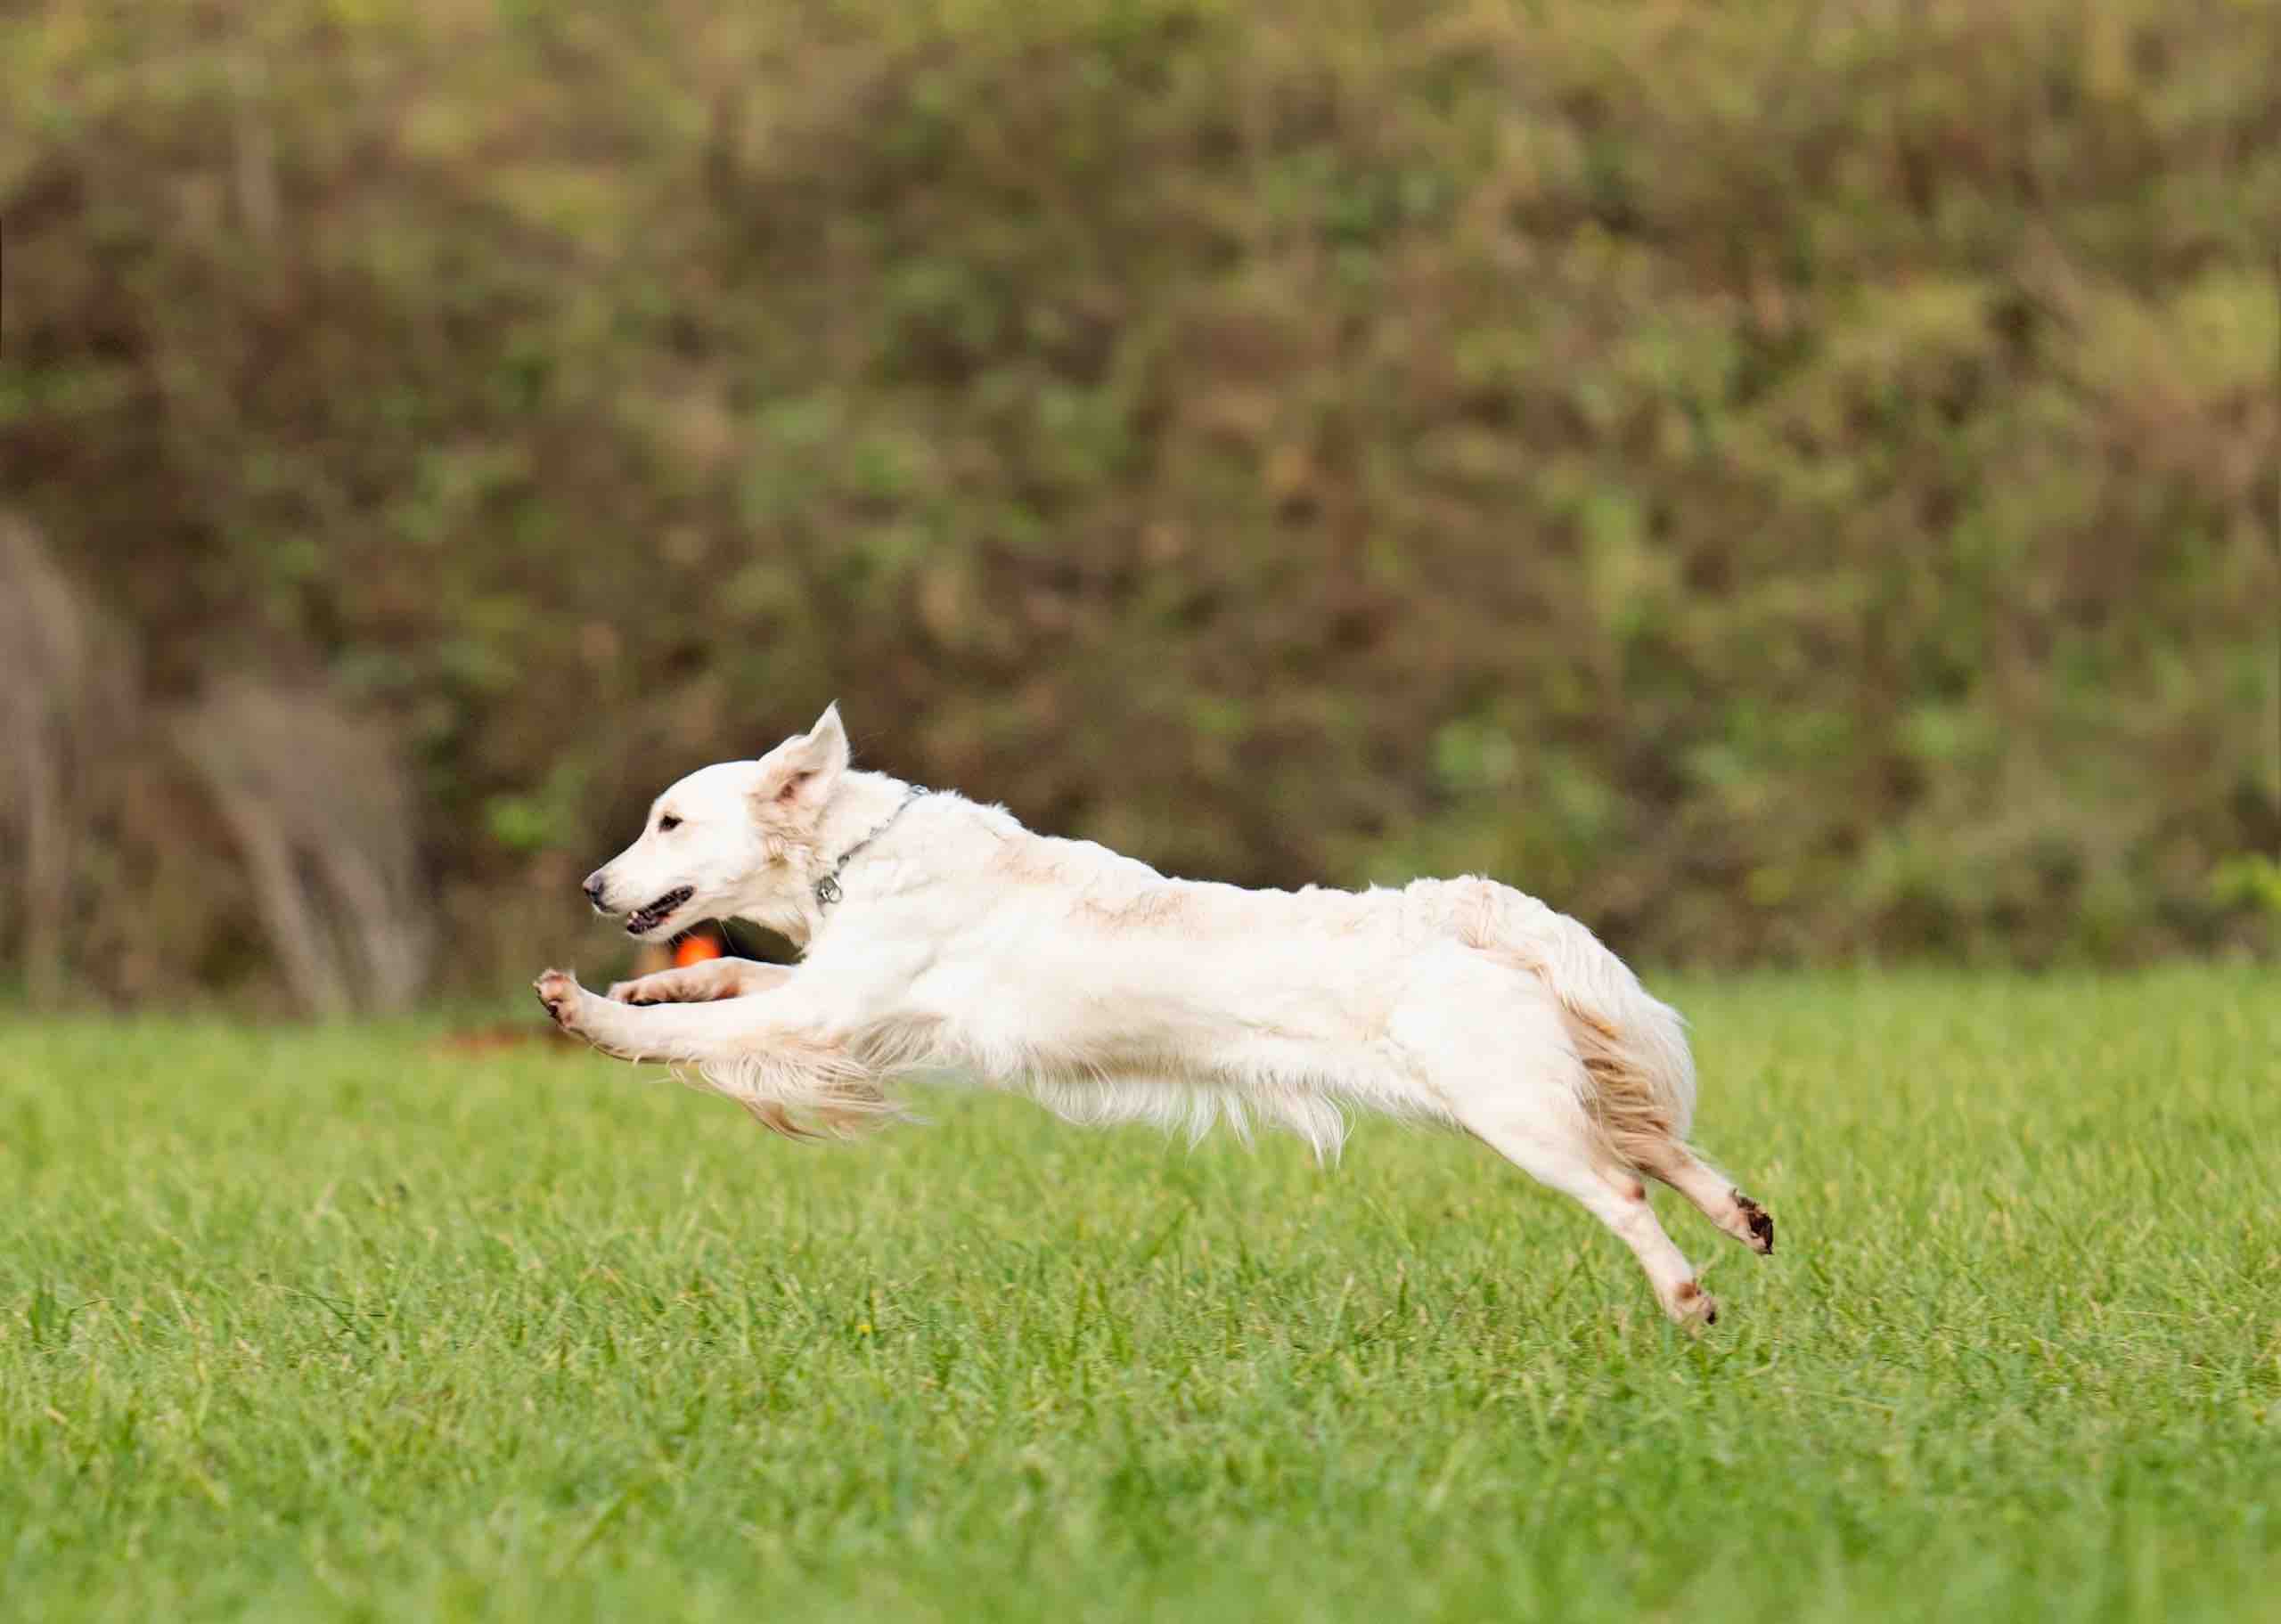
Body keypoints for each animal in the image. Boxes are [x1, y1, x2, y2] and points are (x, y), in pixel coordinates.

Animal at [535, 704, 1774, 1326]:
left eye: (669, 820)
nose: (592, 885)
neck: (854, 853)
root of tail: (1460, 911)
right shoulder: (842, 1002)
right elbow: (730, 984)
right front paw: (651, 984)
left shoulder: (835, 1019)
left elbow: (697, 1036)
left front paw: (593, 1011)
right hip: (1527, 1090)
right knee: (1657, 1142)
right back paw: (1746, 1217)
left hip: (1508, 1109)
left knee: (1624, 1184)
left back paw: (1687, 1296)